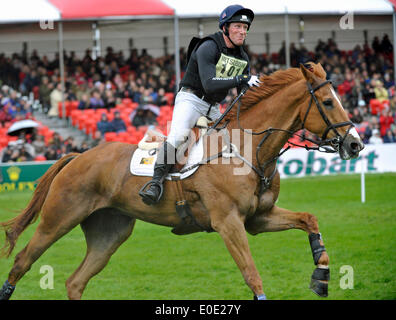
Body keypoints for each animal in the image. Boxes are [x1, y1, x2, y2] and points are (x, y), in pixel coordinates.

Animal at [0, 63, 364, 300]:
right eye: (328, 102)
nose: (355, 144)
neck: (248, 149)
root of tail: (78, 156)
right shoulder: (228, 222)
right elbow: (251, 274)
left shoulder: (258, 219)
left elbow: (309, 220)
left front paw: (321, 274)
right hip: (58, 220)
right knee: (22, 262)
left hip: (110, 232)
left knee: (76, 282)